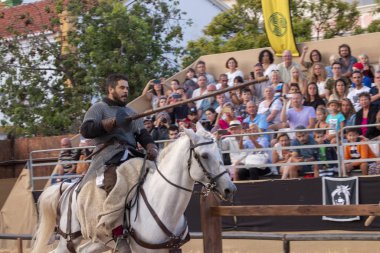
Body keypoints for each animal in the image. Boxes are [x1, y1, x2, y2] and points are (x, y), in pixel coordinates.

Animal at [31, 123, 236, 252]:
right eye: (204, 155)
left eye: (220, 152)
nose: (230, 189)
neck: (163, 204)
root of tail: (67, 187)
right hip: (68, 240)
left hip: (99, 241)